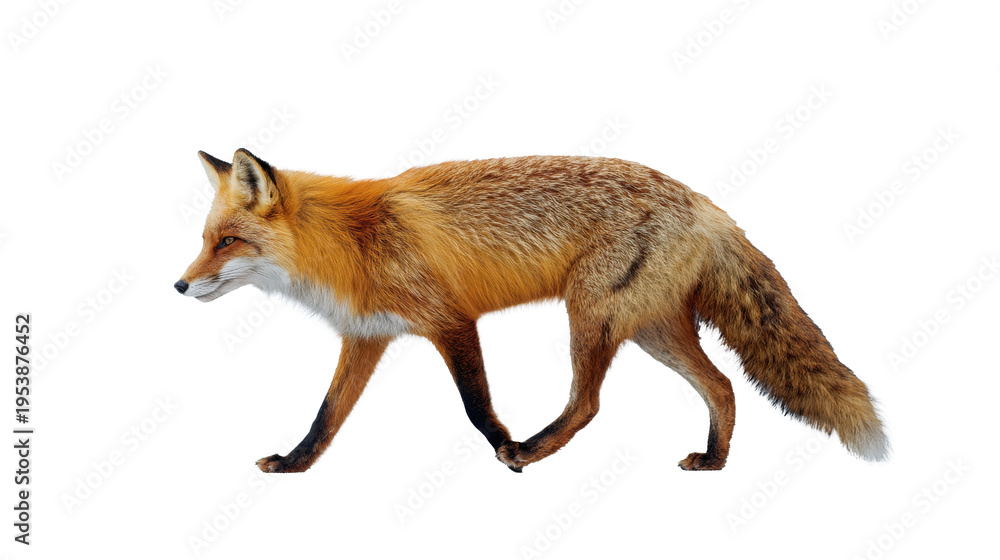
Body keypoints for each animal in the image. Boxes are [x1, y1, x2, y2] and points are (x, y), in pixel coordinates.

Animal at [175, 148, 889, 473]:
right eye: (205, 240)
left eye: (227, 242)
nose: (179, 287)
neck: (352, 241)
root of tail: (704, 203)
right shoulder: (367, 337)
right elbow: (326, 416)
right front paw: (295, 465)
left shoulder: (450, 321)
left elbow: (474, 403)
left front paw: (503, 445)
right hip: (651, 330)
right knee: (722, 387)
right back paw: (714, 461)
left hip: (591, 316)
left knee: (589, 404)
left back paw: (536, 448)